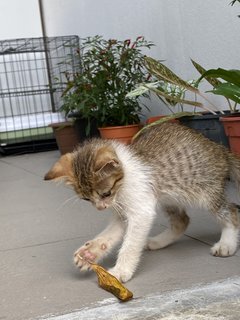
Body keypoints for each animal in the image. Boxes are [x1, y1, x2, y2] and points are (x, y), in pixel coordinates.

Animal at [45, 122, 240, 282]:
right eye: (86, 199)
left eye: (106, 193)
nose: (101, 208)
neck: (124, 180)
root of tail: (220, 149)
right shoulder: (123, 210)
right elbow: (110, 234)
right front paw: (90, 252)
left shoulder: (140, 210)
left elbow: (130, 243)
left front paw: (120, 270)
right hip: (168, 197)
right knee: (181, 221)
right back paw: (159, 242)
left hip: (206, 191)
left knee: (231, 211)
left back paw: (226, 244)